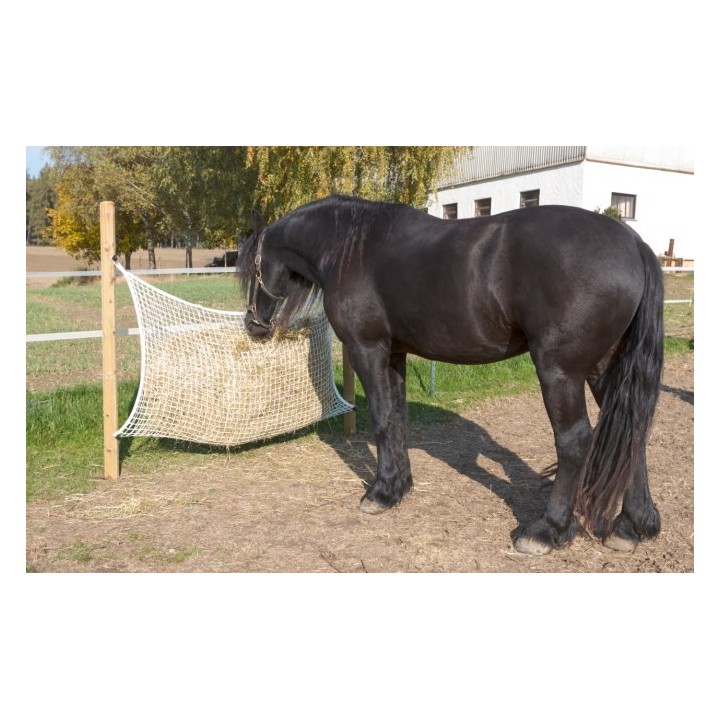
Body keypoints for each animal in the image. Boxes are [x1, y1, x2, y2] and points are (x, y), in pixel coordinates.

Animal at [237, 194, 664, 556]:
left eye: (252, 267)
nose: (252, 325)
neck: (351, 249)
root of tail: (633, 242)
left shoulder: (367, 350)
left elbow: (381, 417)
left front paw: (379, 493)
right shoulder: (394, 353)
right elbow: (397, 418)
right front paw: (399, 486)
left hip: (561, 372)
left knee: (575, 442)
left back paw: (547, 530)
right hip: (604, 368)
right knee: (633, 432)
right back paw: (631, 526)